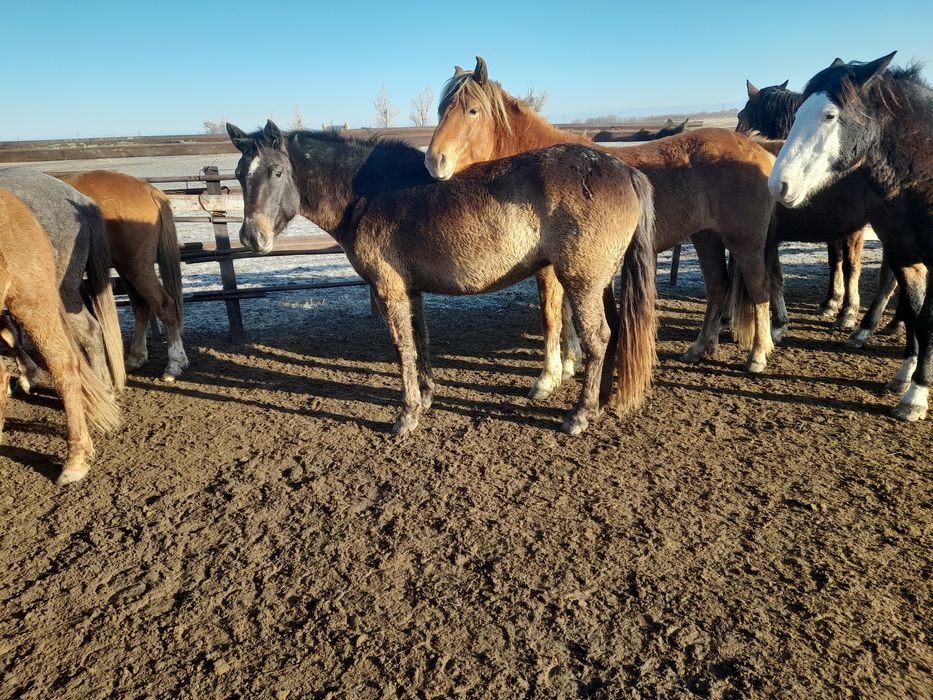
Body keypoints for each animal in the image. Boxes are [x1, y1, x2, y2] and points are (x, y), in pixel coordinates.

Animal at [60, 171, 188, 382]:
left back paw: (173, 365)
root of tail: (148, 189)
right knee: (141, 306)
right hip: (125, 267)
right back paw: (135, 358)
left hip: (137, 266)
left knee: (164, 306)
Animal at [226, 121, 658, 436]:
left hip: (582, 281)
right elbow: (421, 341)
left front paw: (407, 415)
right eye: (239, 174)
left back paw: (580, 415)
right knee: (615, 330)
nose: (251, 237)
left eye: (276, 171)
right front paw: (427, 396)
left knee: (598, 338)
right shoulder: (411, 289)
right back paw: (600, 402)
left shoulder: (389, 290)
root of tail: (625, 171)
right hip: (598, 281)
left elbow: (403, 348)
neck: (367, 194)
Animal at [425, 57, 777, 396]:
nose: (434, 161)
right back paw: (700, 348)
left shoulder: (548, 268)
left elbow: (551, 316)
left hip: (745, 240)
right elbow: (566, 314)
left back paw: (758, 355)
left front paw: (548, 377)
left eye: (472, 110)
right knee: (718, 286)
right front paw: (570, 363)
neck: (538, 170)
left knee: (759, 288)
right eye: (441, 109)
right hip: (707, 238)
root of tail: (757, 149)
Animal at [769, 53, 933, 422]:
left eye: (830, 115)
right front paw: (907, 378)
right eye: (796, 114)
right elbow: (916, 314)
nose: (777, 186)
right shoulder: (907, 259)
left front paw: (918, 394)